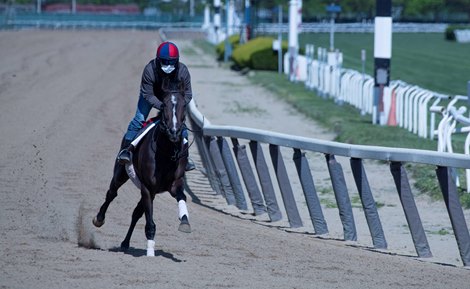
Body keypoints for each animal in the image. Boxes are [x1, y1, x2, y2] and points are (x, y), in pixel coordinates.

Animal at [92, 80, 190, 255]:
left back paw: (125, 243)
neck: (167, 152)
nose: (174, 131)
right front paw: (150, 252)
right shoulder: (147, 187)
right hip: (120, 173)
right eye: (164, 104)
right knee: (112, 193)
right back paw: (99, 219)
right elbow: (150, 222)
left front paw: (185, 222)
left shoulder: (174, 184)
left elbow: (182, 197)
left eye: (184, 105)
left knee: (136, 213)